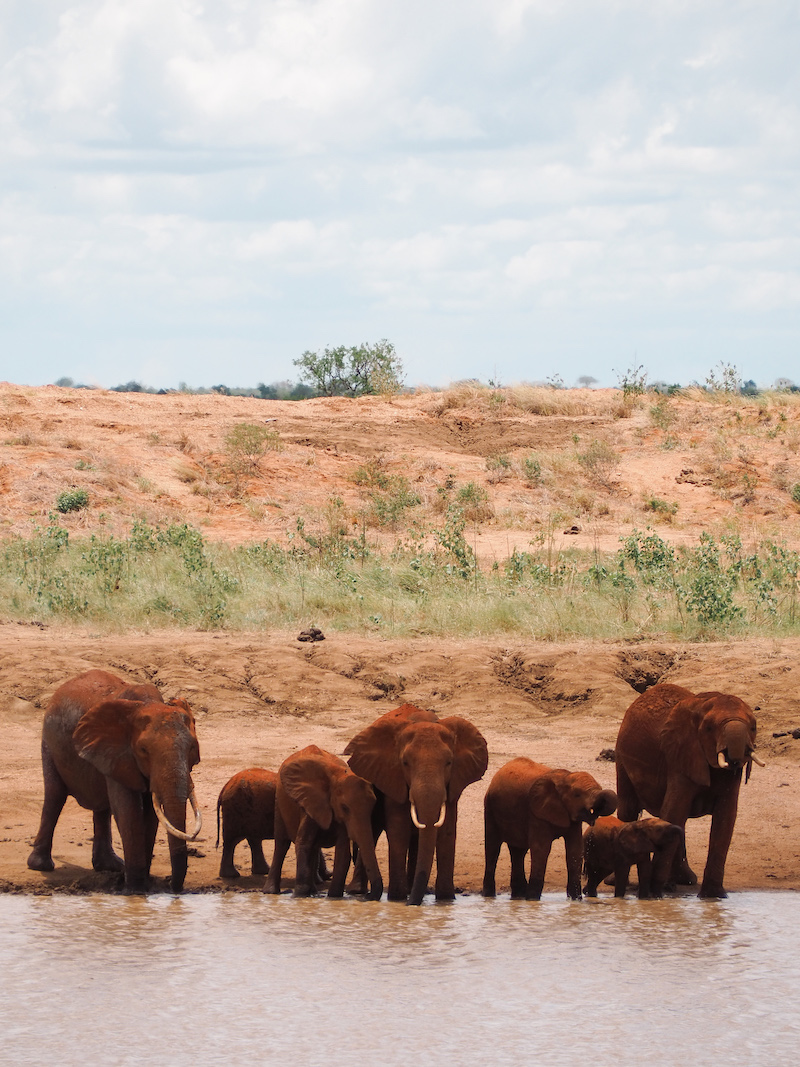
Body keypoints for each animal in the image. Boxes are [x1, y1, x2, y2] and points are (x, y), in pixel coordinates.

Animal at [26, 670, 201, 896]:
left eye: (192, 748)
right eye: (143, 750)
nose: (173, 888)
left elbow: (150, 814)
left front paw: (143, 884)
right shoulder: (120, 752)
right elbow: (129, 810)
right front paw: (135, 891)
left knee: (102, 807)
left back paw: (109, 866)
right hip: (49, 741)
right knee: (55, 796)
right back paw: (41, 865)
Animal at [266, 746, 386, 904]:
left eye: (373, 807)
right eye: (345, 807)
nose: (368, 896)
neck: (336, 778)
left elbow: (343, 852)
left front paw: (334, 897)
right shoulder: (311, 803)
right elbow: (303, 843)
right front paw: (299, 896)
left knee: (313, 848)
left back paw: (314, 893)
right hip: (279, 802)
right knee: (282, 845)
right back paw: (271, 892)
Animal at [345, 704, 488, 904]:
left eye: (449, 762)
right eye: (405, 763)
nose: (411, 904)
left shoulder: (454, 783)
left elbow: (446, 831)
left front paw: (446, 900)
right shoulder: (393, 777)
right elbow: (398, 830)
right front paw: (397, 899)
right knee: (373, 828)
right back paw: (359, 891)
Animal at [482, 759, 618, 900]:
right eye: (577, 795)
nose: (595, 814)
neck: (565, 777)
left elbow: (575, 850)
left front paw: (575, 899)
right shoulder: (537, 812)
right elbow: (541, 849)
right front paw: (533, 899)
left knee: (518, 852)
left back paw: (518, 896)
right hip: (490, 806)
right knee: (493, 848)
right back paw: (490, 895)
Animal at [614, 678, 763, 896]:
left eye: (753, 727)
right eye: (709, 728)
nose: (734, 760)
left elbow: (725, 817)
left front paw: (714, 896)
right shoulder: (680, 757)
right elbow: (673, 812)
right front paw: (654, 893)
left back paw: (685, 881)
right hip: (622, 757)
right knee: (628, 810)